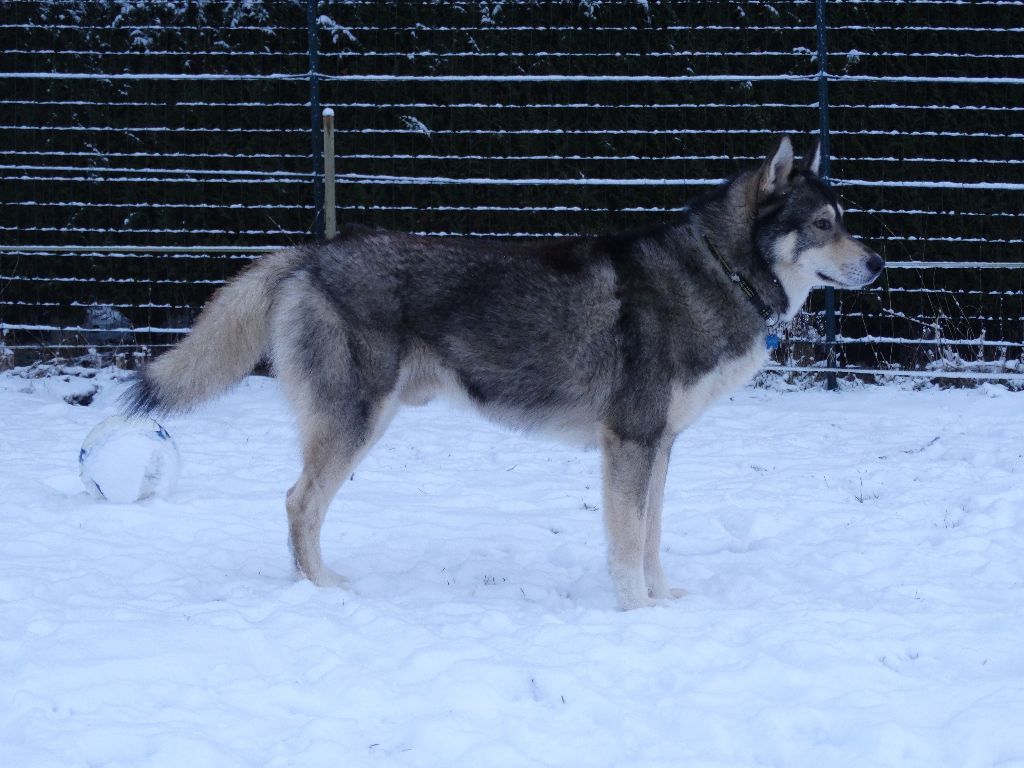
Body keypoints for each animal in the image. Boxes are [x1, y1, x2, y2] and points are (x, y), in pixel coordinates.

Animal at [123, 137, 884, 606]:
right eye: (824, 224)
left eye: (846, 220)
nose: (880, 263)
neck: (722, 270)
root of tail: (313, 252)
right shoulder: (630, 443)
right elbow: (627, 544)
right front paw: (638, 613)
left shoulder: (659, 446)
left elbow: (652, 539)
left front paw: (662, 599)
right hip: (355, 424)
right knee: (297, 503)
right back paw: (323, 590)